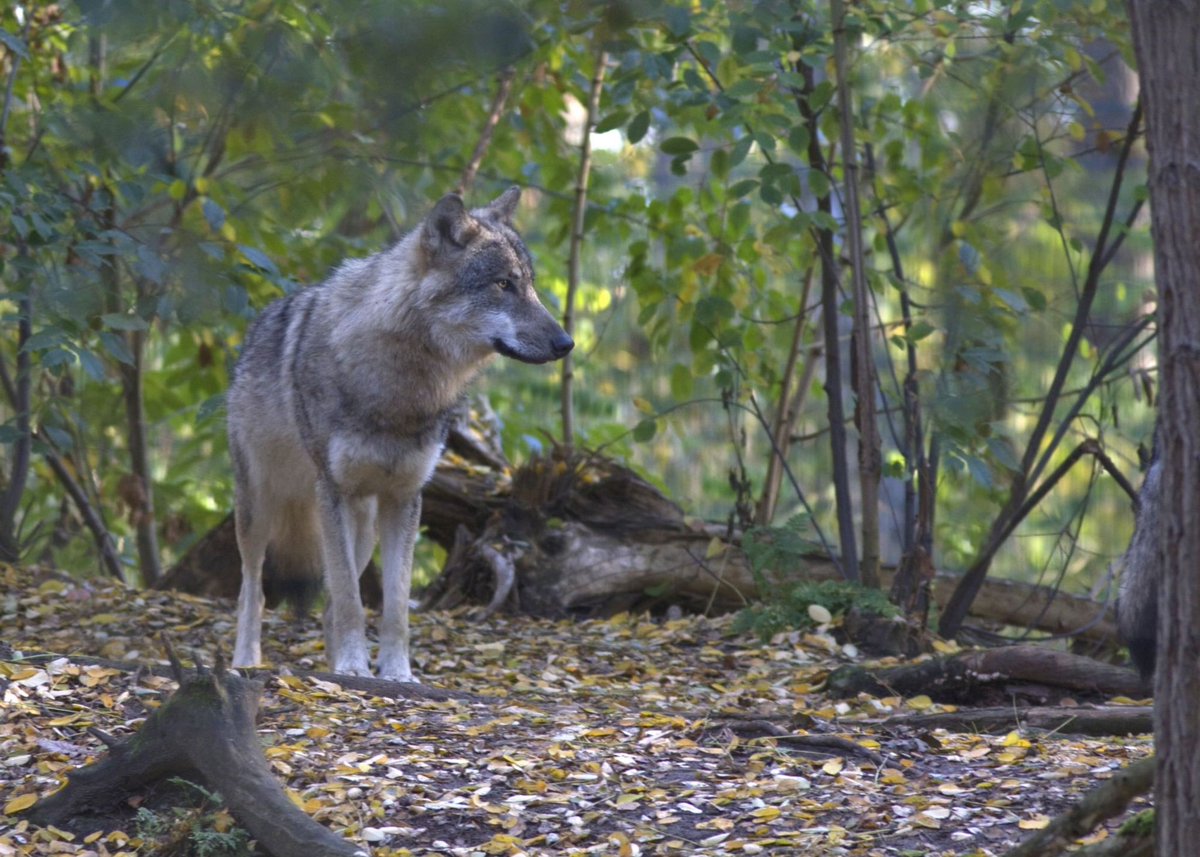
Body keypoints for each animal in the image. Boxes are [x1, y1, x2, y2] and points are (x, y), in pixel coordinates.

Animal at [228, 187, 573, 681]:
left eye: (529, 284)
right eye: (503, 285)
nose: (567, 343)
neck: (402, 387)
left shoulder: (405, 498)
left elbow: (392, 606)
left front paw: (394, 672)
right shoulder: (333, 491)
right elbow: (352, 603)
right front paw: (355, 668)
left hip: (363, 525)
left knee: (331, 601)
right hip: (261, 508)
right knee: (254, 588)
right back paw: (247, 660)